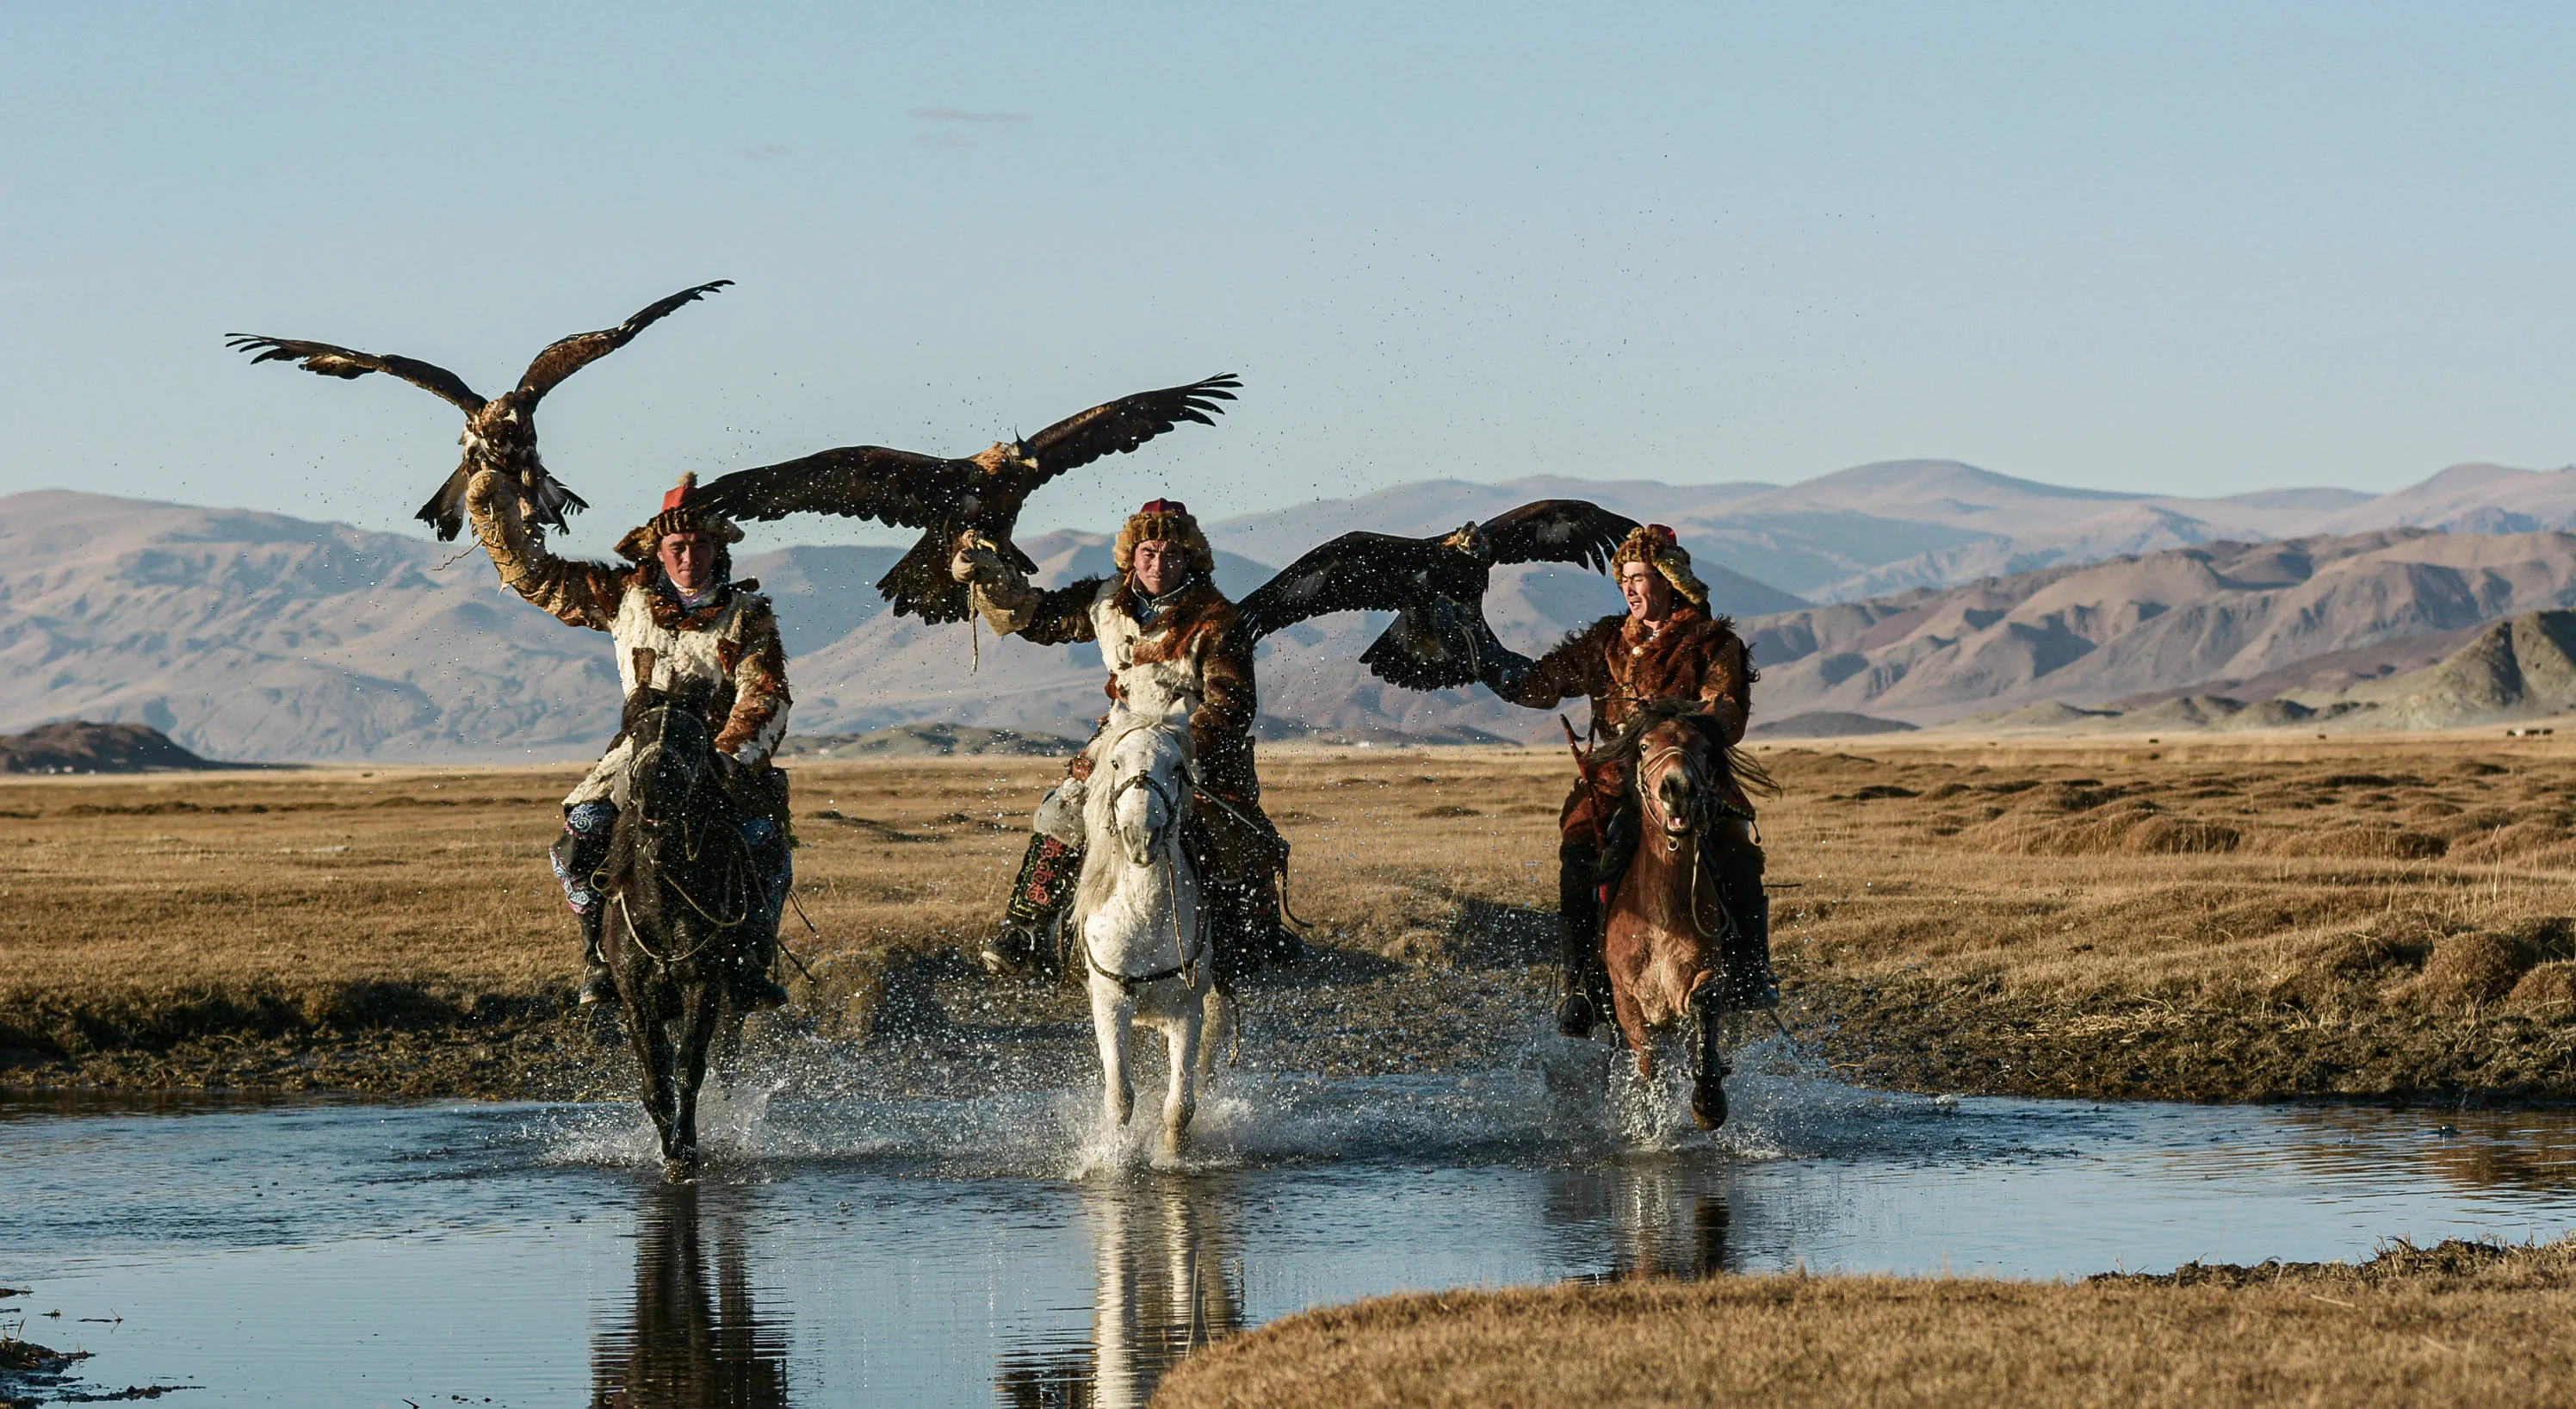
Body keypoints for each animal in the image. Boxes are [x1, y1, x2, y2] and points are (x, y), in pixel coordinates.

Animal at [598, 685, 757, 1179]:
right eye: (638, 731)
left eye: (695, 735)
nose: (655, 787)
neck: (665, 901)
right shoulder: (633, 992)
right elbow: (656, 1074)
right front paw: (669, 1144)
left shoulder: (704, 984)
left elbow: (689, 1066)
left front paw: (685, 1150)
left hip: (733, 1002)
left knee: (725, 1065)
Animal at [1066, 705, 1226, 1158]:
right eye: (1116, 763)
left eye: (1177, 767)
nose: (1141, 838)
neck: (1142, 919)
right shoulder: (1110, 1002)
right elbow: (1119, 1097)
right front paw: (1118, 1158)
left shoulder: (1188, 1008)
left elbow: (1180, 1104)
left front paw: (1173, 1157)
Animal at [1587, 700, 1772, 1127]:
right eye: (1644, 746)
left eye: (1704, 748)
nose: (1678, 788)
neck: (1662, 916)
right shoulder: (1627, 1000)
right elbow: (1648, 1063)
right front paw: (1648, 1119)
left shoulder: (1706, 974)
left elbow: (1705, 1008)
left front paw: (1708, 1101)